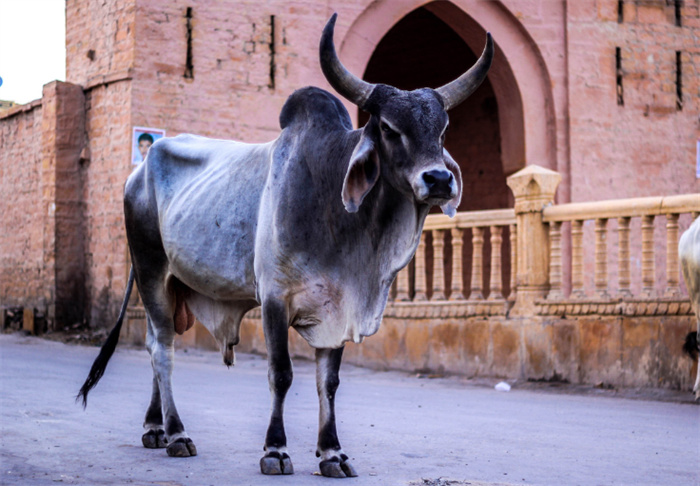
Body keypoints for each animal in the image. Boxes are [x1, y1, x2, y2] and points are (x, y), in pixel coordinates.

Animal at [79, 13, 494, 476]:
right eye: (388, 128)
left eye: (442, 129)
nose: (438, 179)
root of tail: (140, 168)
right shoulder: (276, 298)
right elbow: (282, 374)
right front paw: (275, 450)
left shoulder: (339, 306)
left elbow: (328, 382)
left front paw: (332, 453)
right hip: (150, 270)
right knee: (162, 347)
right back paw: (177, 433)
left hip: (174, 285)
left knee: (155, 342)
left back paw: (155, 427)